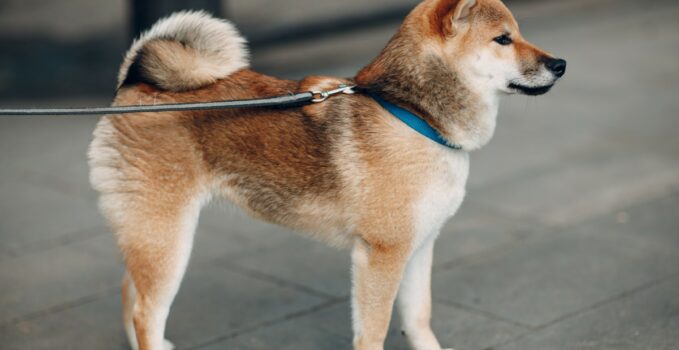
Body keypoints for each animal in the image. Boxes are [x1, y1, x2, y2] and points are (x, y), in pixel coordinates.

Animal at [89, 0, 568, 350]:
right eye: (503, 39)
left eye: (518, 33)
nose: (560, 64)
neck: (413, 115)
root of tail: (132, 83)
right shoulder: (381, 254)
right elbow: (374, 330)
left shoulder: (419, 244)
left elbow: (419, 317)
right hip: (166, 234)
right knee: (145, 311)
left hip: (150, 233)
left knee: (130, 294)